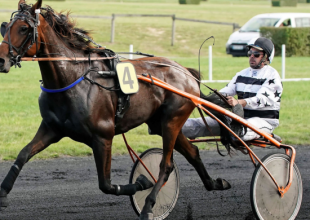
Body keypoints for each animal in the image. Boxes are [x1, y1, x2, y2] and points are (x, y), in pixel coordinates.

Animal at [0, 0, 230, 219]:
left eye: (23, 28)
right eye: (5, 27)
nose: (1, 60)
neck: (74, 78)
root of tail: (186, 72)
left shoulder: (103, 136)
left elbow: (106, 185)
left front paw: (141, 183)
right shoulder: (51, 129)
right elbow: (23, 154)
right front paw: (3, 192)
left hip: (172, 120)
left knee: (166, 165)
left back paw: (149, 206)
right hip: (160, 123)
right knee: (192, 151)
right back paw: (215, 183)